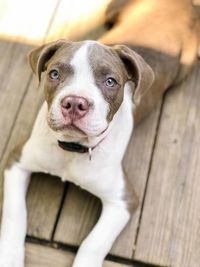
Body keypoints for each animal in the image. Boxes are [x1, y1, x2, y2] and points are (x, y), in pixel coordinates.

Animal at [0, 0, 198, 267]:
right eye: (54, 74)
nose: (75, 103)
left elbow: (93, 243)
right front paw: (10, 257)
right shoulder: (16, 160)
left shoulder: (123, 201)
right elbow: (15, 213)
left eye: (111, 81)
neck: (74, 149)